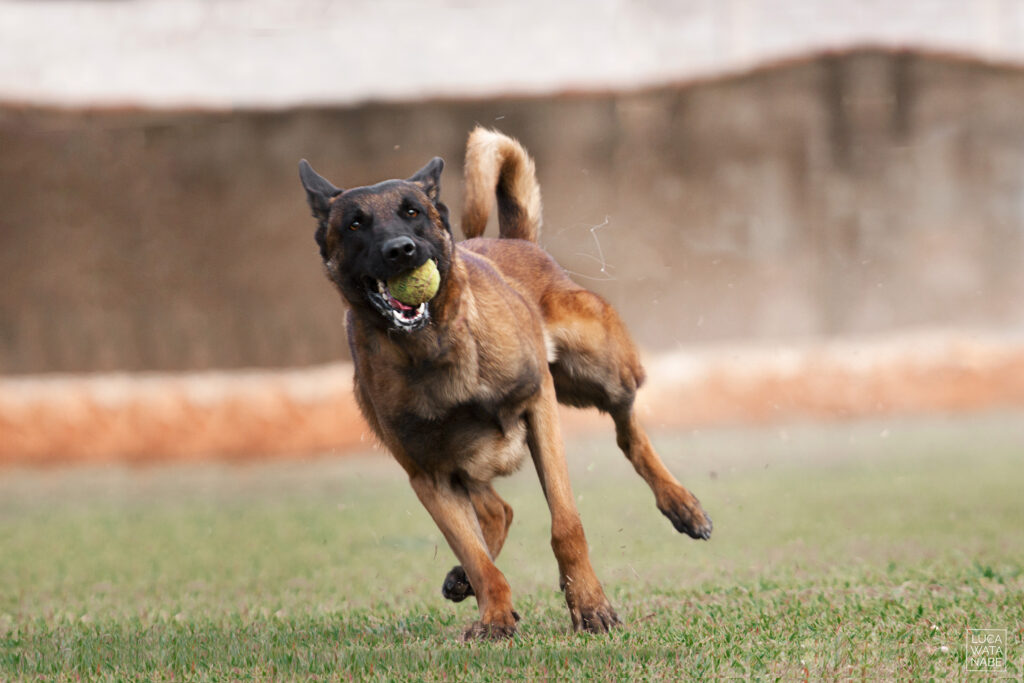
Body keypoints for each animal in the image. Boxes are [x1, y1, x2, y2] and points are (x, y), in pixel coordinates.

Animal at [296, 127, 712, 643]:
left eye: (413, 212)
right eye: (355, 224)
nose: (400, 250)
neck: (432, 349)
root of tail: (515, 240)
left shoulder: (539, 405)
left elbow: (566, 525)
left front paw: (590, 604)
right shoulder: (428, 475)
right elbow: (475, 555)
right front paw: (494, 614)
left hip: (602, 369)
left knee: (628, 430)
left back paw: (682, 504)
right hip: (467, 461)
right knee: (498, 512)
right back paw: (464, 579)